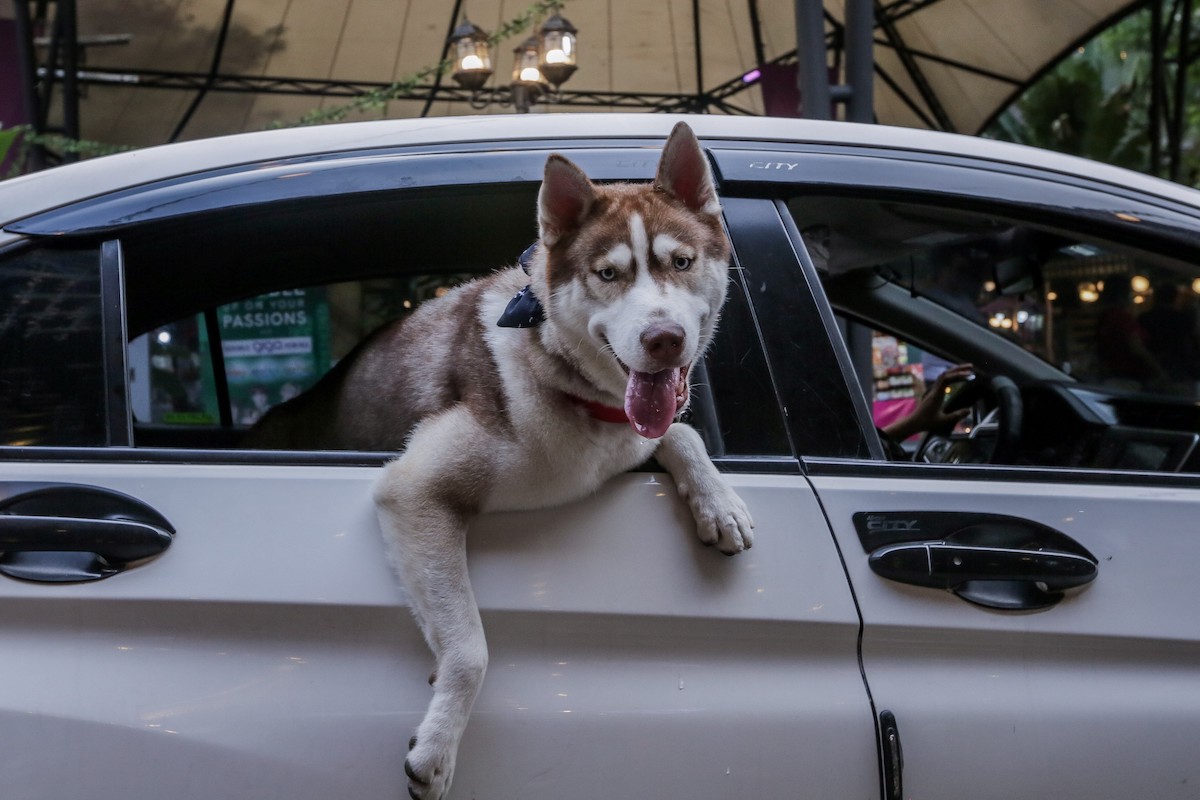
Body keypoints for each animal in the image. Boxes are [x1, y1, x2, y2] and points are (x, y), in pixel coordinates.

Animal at [246, 120, 748, 800]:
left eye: (682, 262)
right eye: (608, 274)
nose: (664, 339)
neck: (565, 382)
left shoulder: (630, 432)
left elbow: (680, 433)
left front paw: (719, 503)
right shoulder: (416, 490)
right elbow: (470, 650)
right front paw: (436, 747)